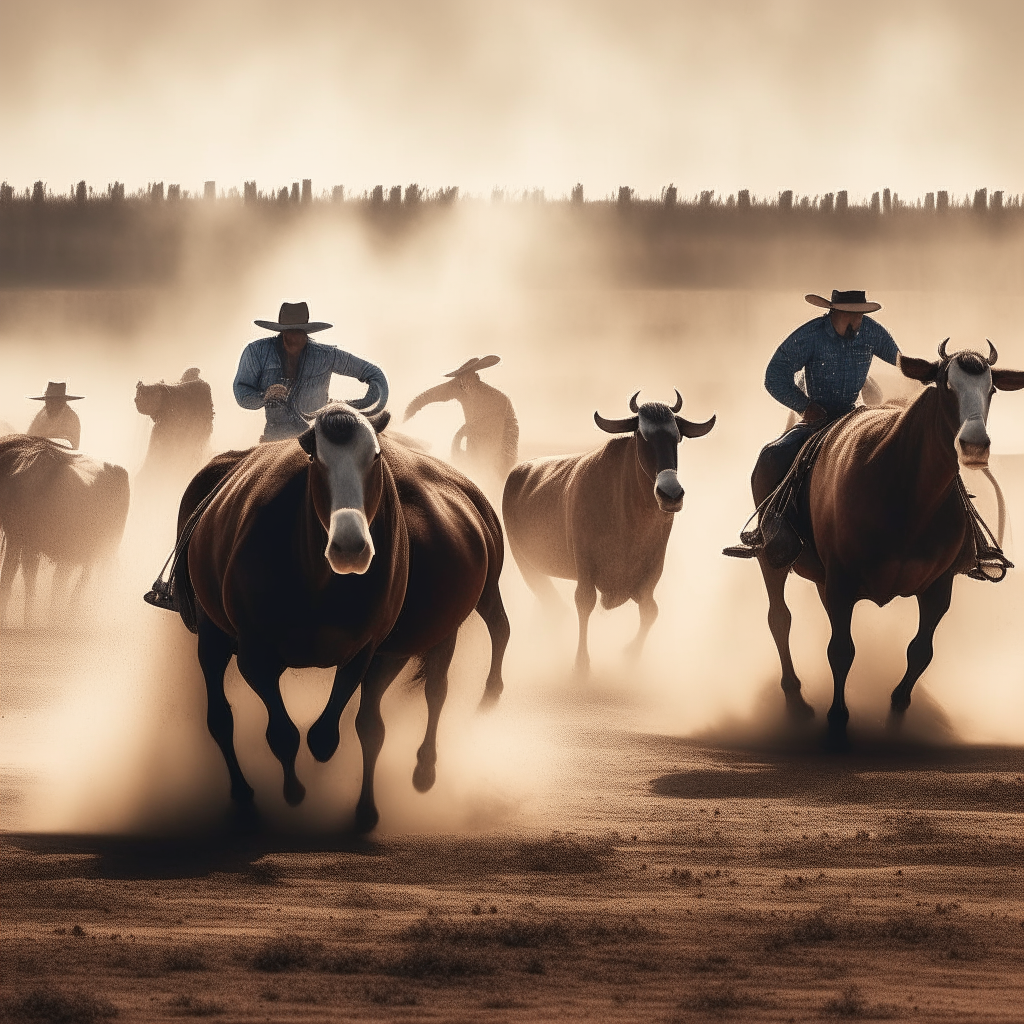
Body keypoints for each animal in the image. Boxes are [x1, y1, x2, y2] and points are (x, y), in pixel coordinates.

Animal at [0, 434, 132, 622]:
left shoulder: (19, 540)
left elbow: (11, 581)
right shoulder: (24, 543)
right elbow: (23, 582)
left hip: (92, 554)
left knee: (75, 589)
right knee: (62, 587)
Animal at [180, 399, 512, 831]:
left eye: (374, 456)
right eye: (314, 457)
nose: (350, 548)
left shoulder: (370, 650)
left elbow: (341, 732)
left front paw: (362, 808)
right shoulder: (254, 654)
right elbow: (286, 733)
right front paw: (294, 791)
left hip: (473, 605)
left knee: (474, 652)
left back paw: (454, 736)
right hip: (213, 637)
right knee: (220, 717)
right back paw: (243, 796)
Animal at [501, 389, 712, 671]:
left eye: (677, 437)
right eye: (641, 435)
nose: (671, 494)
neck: (631, 518)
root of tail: (520, 470)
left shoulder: (653, 568)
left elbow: (650, 610)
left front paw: (631, 655)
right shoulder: (585, 566)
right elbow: (584, 602)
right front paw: (581, 663)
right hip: (524, 561)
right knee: (552, 603)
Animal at [757, 339, 1024, 741]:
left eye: (991, 390)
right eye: (946, 385)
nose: (975, 445)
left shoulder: (938, 587)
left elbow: (920, 652)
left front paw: (896, 718)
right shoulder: (840, 583)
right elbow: (841, 651)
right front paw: (837, 722)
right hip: (771, 559)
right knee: (779, 618)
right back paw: (796, 703)